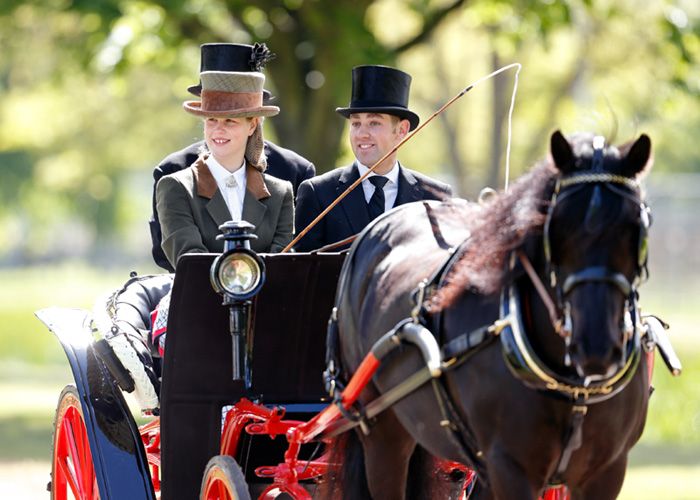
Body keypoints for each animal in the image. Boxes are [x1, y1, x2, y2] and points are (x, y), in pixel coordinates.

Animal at [326, 133, 652, 500]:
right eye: (555, 227)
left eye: (637, 229)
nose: (596, 345)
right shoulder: (510, 466)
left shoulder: (607, 471)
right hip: (382, 428)